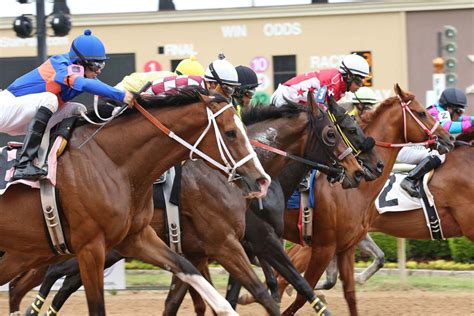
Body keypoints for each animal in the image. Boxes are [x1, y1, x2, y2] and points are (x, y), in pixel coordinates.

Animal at [278, 84, 456, 316]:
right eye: (422, 113)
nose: (449, 139)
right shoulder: (323, 244)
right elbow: (300, 289)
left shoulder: (345, 242)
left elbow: (349, 291)